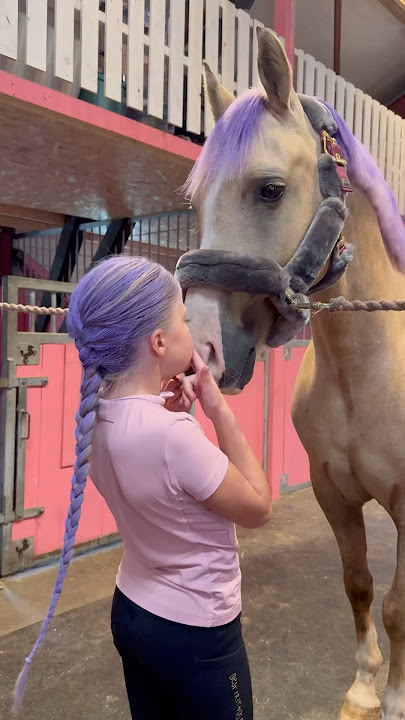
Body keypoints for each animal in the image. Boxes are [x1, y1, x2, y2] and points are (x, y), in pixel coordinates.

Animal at [176, 27, 405, 720]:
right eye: (196, 200)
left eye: (270, 189)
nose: (203, 349)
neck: (364, 367)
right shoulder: (333, 493)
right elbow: (359, 586)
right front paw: (363, 687)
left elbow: (397, 606)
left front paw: (396, 696)